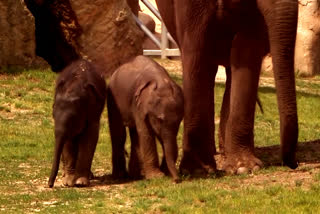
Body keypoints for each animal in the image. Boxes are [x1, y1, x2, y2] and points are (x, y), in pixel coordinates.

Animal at [48, 58, 106, 187]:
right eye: (53, 116)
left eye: (72, 120)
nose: (49, 185)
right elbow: (68, 142)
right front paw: (68, 183)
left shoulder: (93, 111)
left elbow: (90, 137)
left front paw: (80, 183)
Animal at [156, 0, 298, 174]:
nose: (293, 164)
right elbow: (197, 49)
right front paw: (197, 171)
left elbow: (246, 50)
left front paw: (244, 168)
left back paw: (226, 154)